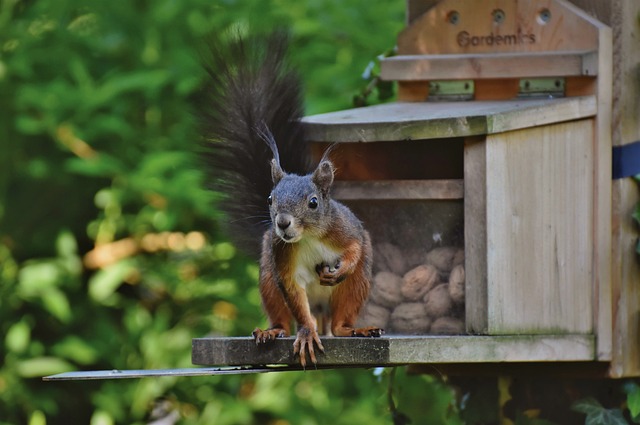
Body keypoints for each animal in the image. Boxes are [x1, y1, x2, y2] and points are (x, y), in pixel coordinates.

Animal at [198, 31, 382, 366]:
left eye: (313, 202)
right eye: (270, 199)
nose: (282, 223)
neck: (307, 237)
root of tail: (324, 312)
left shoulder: (344, 227)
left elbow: (354, 246)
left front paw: (343, 266)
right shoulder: (282, 260)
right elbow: (295, 297)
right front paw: (307, 333)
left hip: (357, 285)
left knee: (341, 319)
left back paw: (354, 329)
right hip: (268, 280)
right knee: (285, 317)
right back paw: (273, 331)